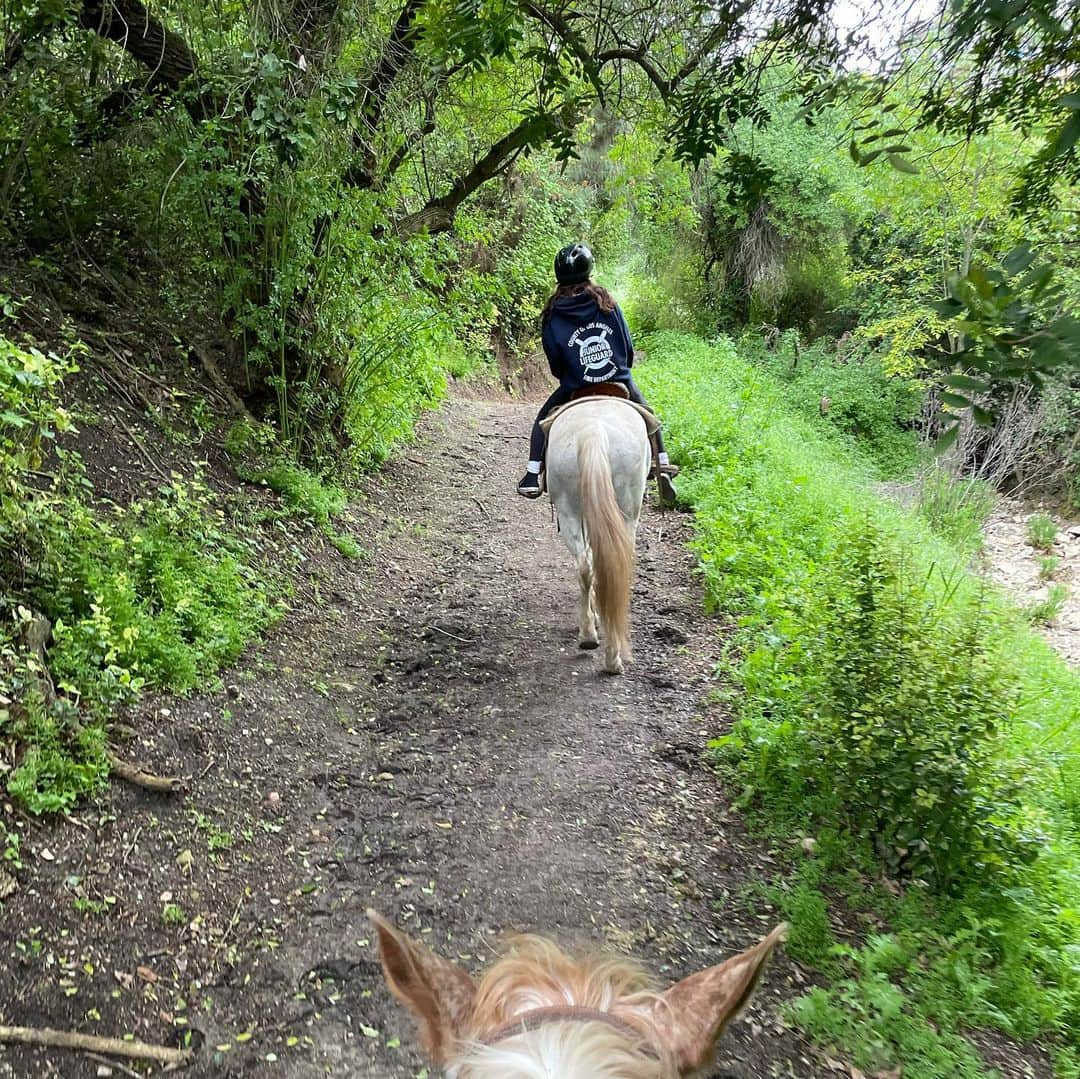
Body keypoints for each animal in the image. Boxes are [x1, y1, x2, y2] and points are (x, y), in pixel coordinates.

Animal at [548, 399, 648, 673]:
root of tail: (593, 431)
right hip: (627, 512)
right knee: (615, 566)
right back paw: (612, 658)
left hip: (568, 509)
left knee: (586, 567)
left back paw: (589, 636)